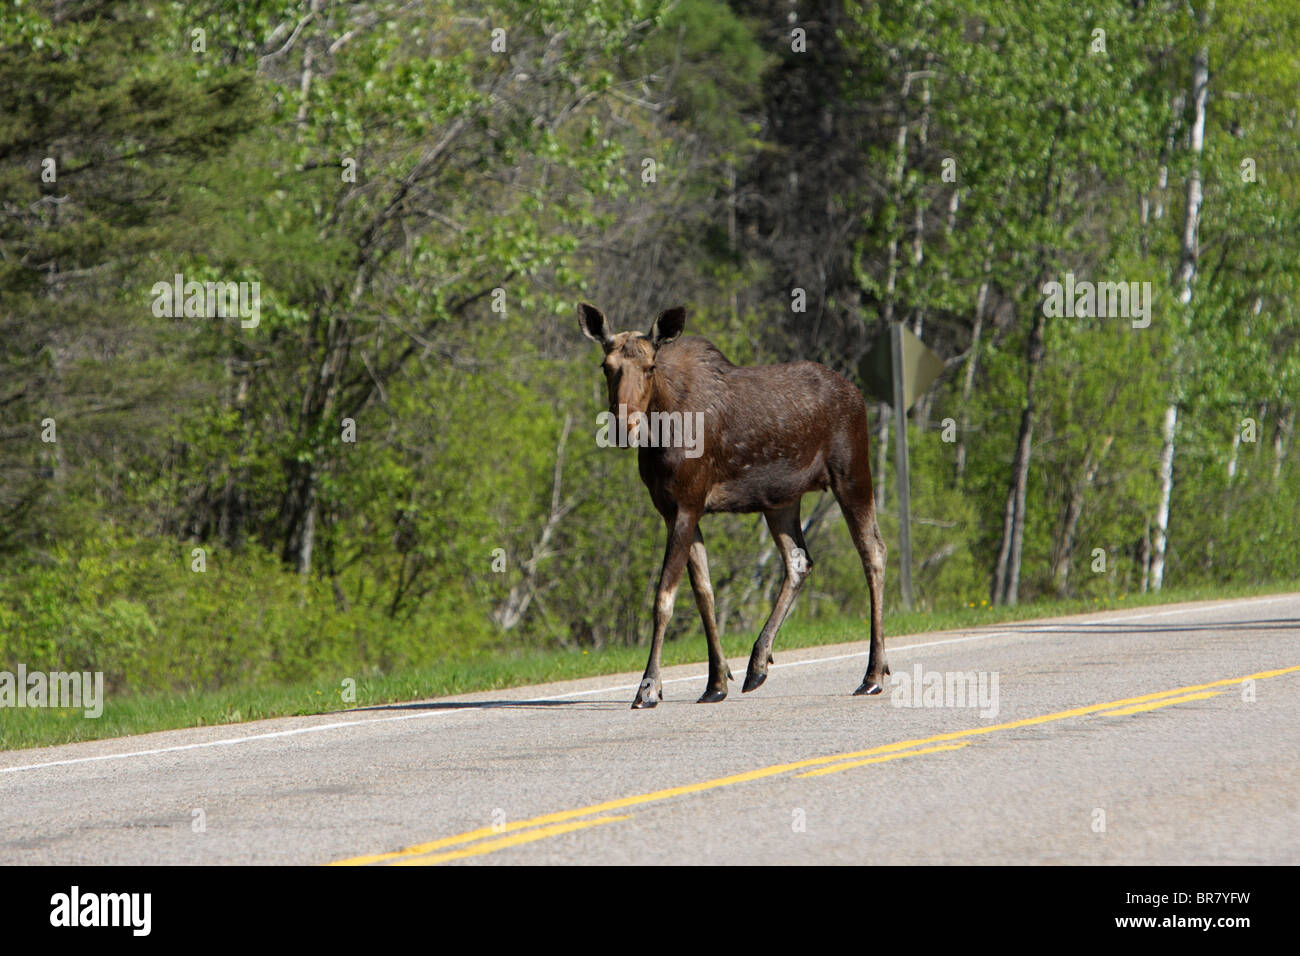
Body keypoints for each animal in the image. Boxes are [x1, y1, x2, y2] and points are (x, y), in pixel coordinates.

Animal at [582, 304, 894, 712]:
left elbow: (664, 597)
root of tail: (858, 393)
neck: (660, 428)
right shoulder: (674, 510)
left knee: (873, 551)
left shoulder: (687, 504)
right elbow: (704, 592)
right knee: (799, 560)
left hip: (853, 472)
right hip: (781, 499)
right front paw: (716, 682)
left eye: (650, 366)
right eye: (607, 366)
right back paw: (757, 664)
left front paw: (648, 688)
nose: (624, 425)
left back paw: (873, 675)